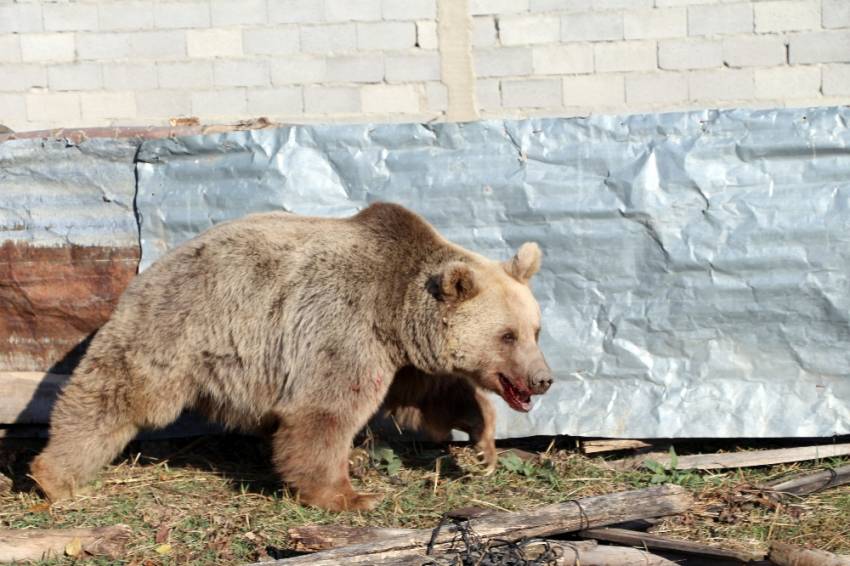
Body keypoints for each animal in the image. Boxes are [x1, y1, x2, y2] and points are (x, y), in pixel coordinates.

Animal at [31, 203, 548, 510]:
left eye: (534, 330)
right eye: (506, 335)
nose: (543, 379)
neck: (395, 308)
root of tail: (152, 266)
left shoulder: (402, 357)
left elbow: (434, 396)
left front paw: (483, 444)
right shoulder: (343, 325)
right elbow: (324, 412)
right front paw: (347, 495)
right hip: (180, 326)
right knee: (115, 394)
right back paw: (52, 475)